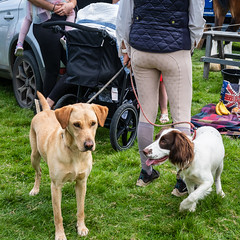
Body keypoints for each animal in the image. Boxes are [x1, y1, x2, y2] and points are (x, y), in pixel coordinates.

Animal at [29, 91, 108, 239]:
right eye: (76, 124)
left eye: (93, 123)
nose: (89, 145)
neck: (75, 153)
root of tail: (46, 111)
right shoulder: (55, 186)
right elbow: (58, 216)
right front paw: (60, 235)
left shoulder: (82, 183)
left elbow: (81, 209)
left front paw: (81, 227)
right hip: (34, 156)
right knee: (39, 172)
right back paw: (35, 189)